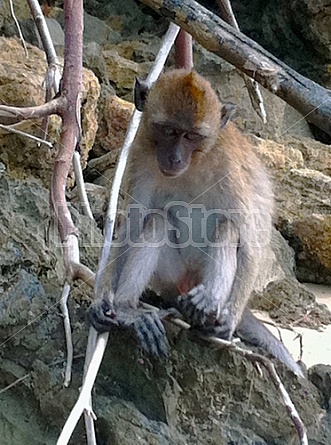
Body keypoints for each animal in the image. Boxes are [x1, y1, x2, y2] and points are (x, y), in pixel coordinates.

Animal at [89, 68, 306, 374]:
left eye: (192, 136)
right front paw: (103, 301)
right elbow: (133, 226)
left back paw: (206, 306)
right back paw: (129, 309)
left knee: (228, 228)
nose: (175, 158)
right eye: (169, 131)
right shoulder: (142, 156)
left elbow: (250, 240)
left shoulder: (229, 166)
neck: (195, 163)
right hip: (171, 277)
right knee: (158, 221)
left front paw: (228, 322)